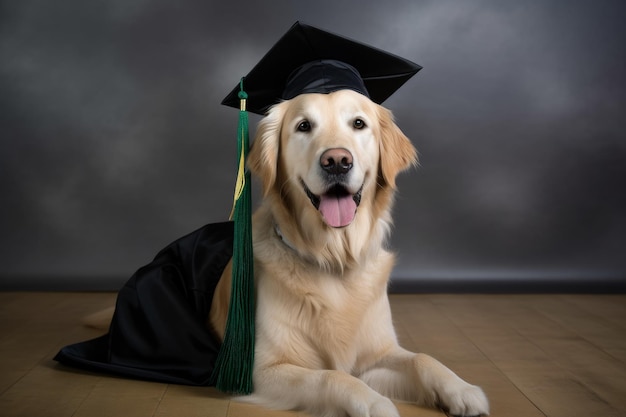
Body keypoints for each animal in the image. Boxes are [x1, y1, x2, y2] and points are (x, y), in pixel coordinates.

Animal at [206, 91, 488, 416]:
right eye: (304, 126)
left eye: (358, 123)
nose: (337, 162)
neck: (335, 257)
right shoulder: (261, 371)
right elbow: (330, 376)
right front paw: (374, 402)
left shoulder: (376, 355)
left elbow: (421, 358)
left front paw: (461, 388)